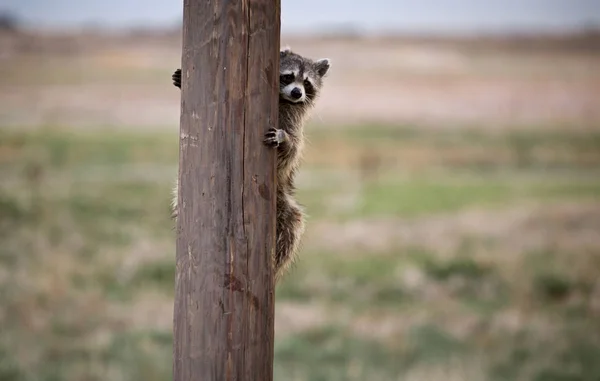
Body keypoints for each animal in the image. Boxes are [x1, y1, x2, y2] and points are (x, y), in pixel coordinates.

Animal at [169, 47, 330, 284]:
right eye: (289, 77)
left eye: (307, 83)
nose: (297, 93)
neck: (283, 99)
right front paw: (182, 81)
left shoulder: (294, 122)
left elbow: (292, 150)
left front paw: (284, 138)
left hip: (283, 200)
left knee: (292, 223)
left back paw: (275, 263)